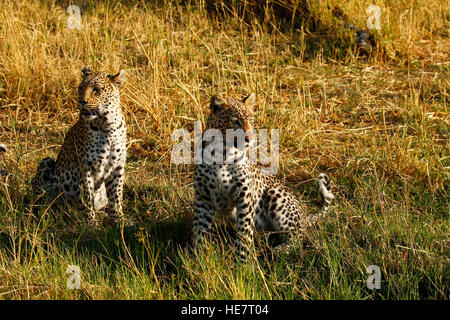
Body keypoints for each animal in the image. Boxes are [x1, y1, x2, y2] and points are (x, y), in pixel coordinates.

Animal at [31, 66, 127, 224]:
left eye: (96, 89)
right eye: (80, 88)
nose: (82, 101)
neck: (108, 125)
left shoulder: (117, 167)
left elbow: (116, 196)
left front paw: (119, 219)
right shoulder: (85, 167)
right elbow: (87, 196)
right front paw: (91, 223)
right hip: (46, 162)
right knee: (40, 199)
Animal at [191, 93, 334, 262]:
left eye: (251, 120)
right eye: (234, 121)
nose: (250, 138)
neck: (222, 155)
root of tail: (303, 217)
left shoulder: (245, 197)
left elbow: (244, 234)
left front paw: (241, 262)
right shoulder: (203, 197)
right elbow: (199, 230)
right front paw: (197, 259)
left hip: (276, 196)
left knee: (298, 236)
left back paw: (278, 250)